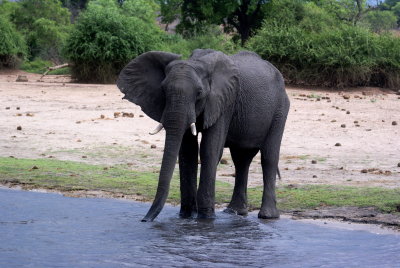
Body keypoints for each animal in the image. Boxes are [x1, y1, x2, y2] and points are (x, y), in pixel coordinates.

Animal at [117, 49, 290, 221]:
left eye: (199, 93)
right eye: (163, 90)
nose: (144, 220)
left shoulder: (225, 102)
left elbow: (209, 149)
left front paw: (206, 217)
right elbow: (188, 151)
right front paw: (186, 216)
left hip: (280, 109)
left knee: (268, 157)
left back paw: (267, 216)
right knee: (241, 159)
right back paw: (234, 212)